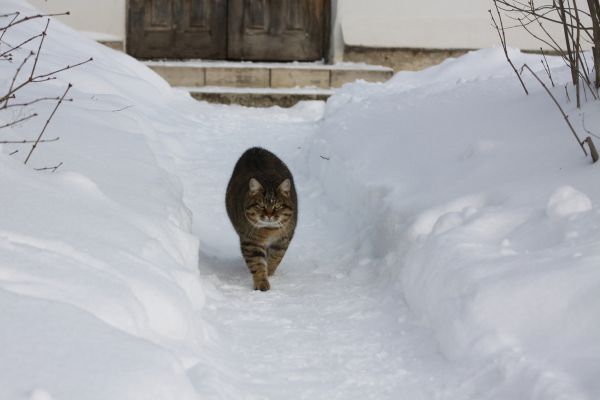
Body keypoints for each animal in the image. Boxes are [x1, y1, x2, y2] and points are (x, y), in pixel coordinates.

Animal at [225, 147, 298, 290]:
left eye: (277, 206)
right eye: (260, 205)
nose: (269, 215)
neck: (269, 230)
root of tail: (254, 149)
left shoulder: (283, 240)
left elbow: (275, 258)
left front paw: (268, 272)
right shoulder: (250, 242)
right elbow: (257, 263)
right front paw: (261, 282)